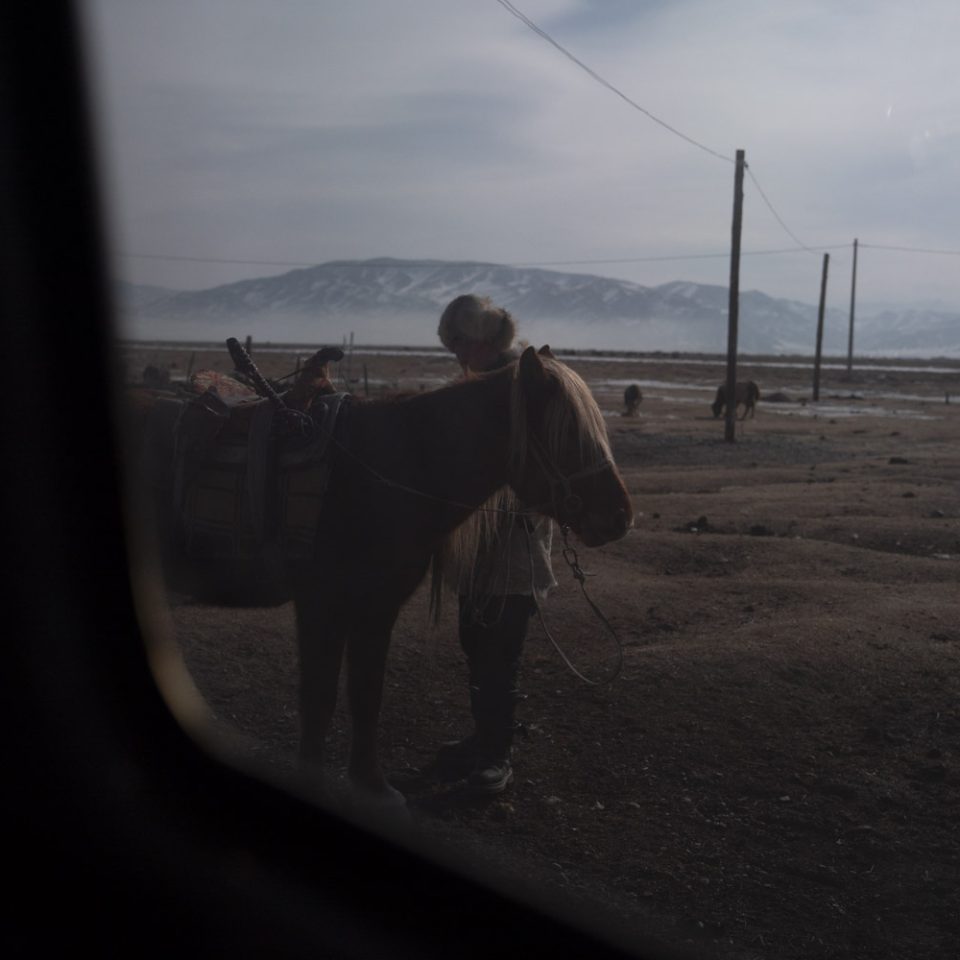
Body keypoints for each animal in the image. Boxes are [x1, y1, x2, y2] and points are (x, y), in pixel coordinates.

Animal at [133, 345, 633, 805]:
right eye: (569, 434)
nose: (621, 516)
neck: (390, 467)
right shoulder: (322, 603)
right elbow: (320, 699)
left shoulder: (376, 607)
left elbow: (365, 692)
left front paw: (372, 786)